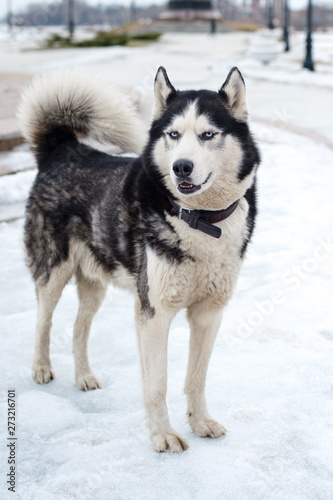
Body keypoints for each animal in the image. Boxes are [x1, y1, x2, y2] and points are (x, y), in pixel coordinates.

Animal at [19, 67, 260, 454]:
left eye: (208, 134)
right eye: (173, 134)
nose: (181, 167)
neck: (200, 222)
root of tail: (65, 148)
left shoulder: (209, 314)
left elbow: (196, 378)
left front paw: (200, 423)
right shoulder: (154, 312)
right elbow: (157, 384)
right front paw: (163, 436)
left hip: (95, 284)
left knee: (78, 328)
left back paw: (84, 376)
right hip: (53, 272)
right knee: (44, 322)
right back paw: (41, 368)